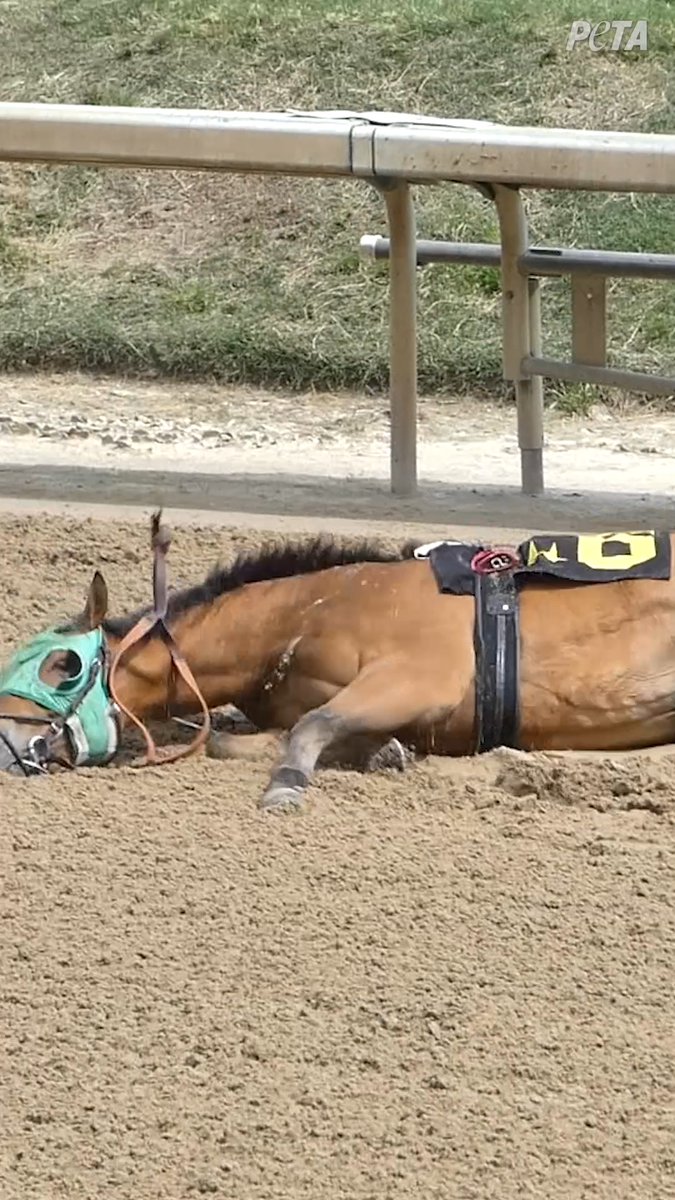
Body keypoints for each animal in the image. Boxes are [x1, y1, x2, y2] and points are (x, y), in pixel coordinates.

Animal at [0, 513, 674, 811]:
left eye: (60, 665)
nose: (8, 742)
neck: (298, 618)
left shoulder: (418, 676)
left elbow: (310, 724)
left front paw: (288, 783)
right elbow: (234, 738)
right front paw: (382, 751)